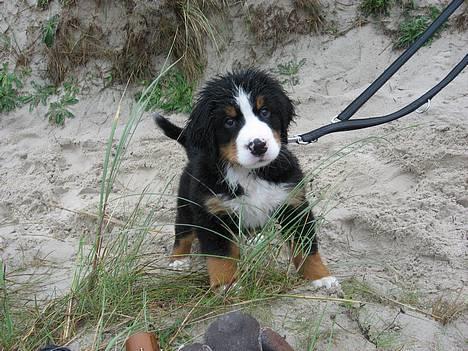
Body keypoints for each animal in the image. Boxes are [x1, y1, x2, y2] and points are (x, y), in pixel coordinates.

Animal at [155, 69, 338, 292]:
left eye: (265, 112)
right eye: (229, 122)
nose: (258, 145)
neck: (250, 173)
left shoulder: (293, 204)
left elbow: (306, 246)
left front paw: (320, 277)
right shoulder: (213, 214)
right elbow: (221, 256)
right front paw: (226, 285)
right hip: (186, 205)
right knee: (183, 231)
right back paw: (178, 259)